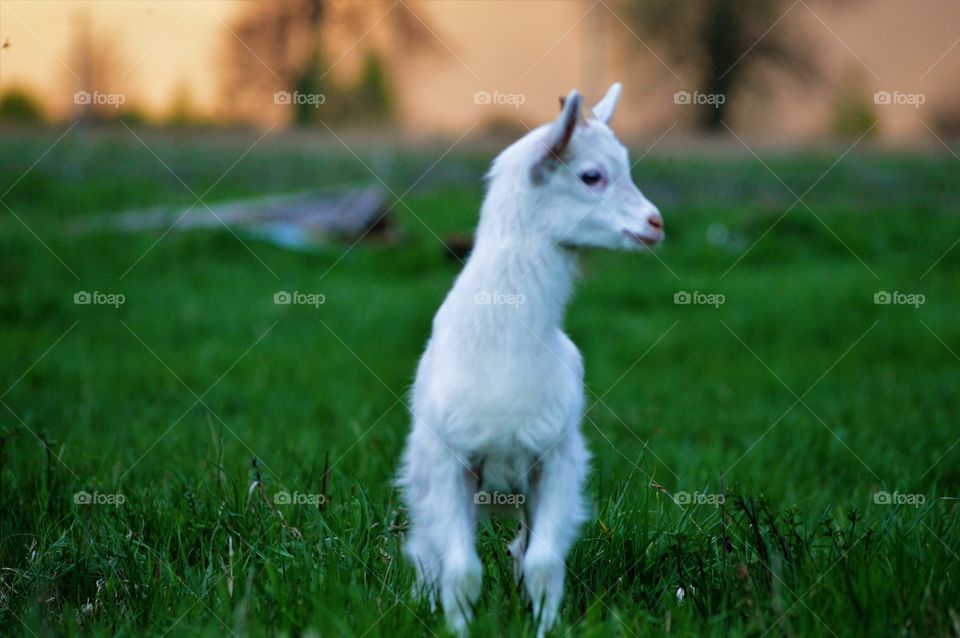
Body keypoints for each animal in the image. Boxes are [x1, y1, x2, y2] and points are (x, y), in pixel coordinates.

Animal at [397, 83, 663, 637]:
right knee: (428, 551)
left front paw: (543, 625)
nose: (655, 224)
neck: (503, 345)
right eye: (591, 175)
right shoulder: (450, 461)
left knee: (522, 548)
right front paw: (458, 628)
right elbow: (462, 569)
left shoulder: (555, 459)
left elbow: (542, 563)